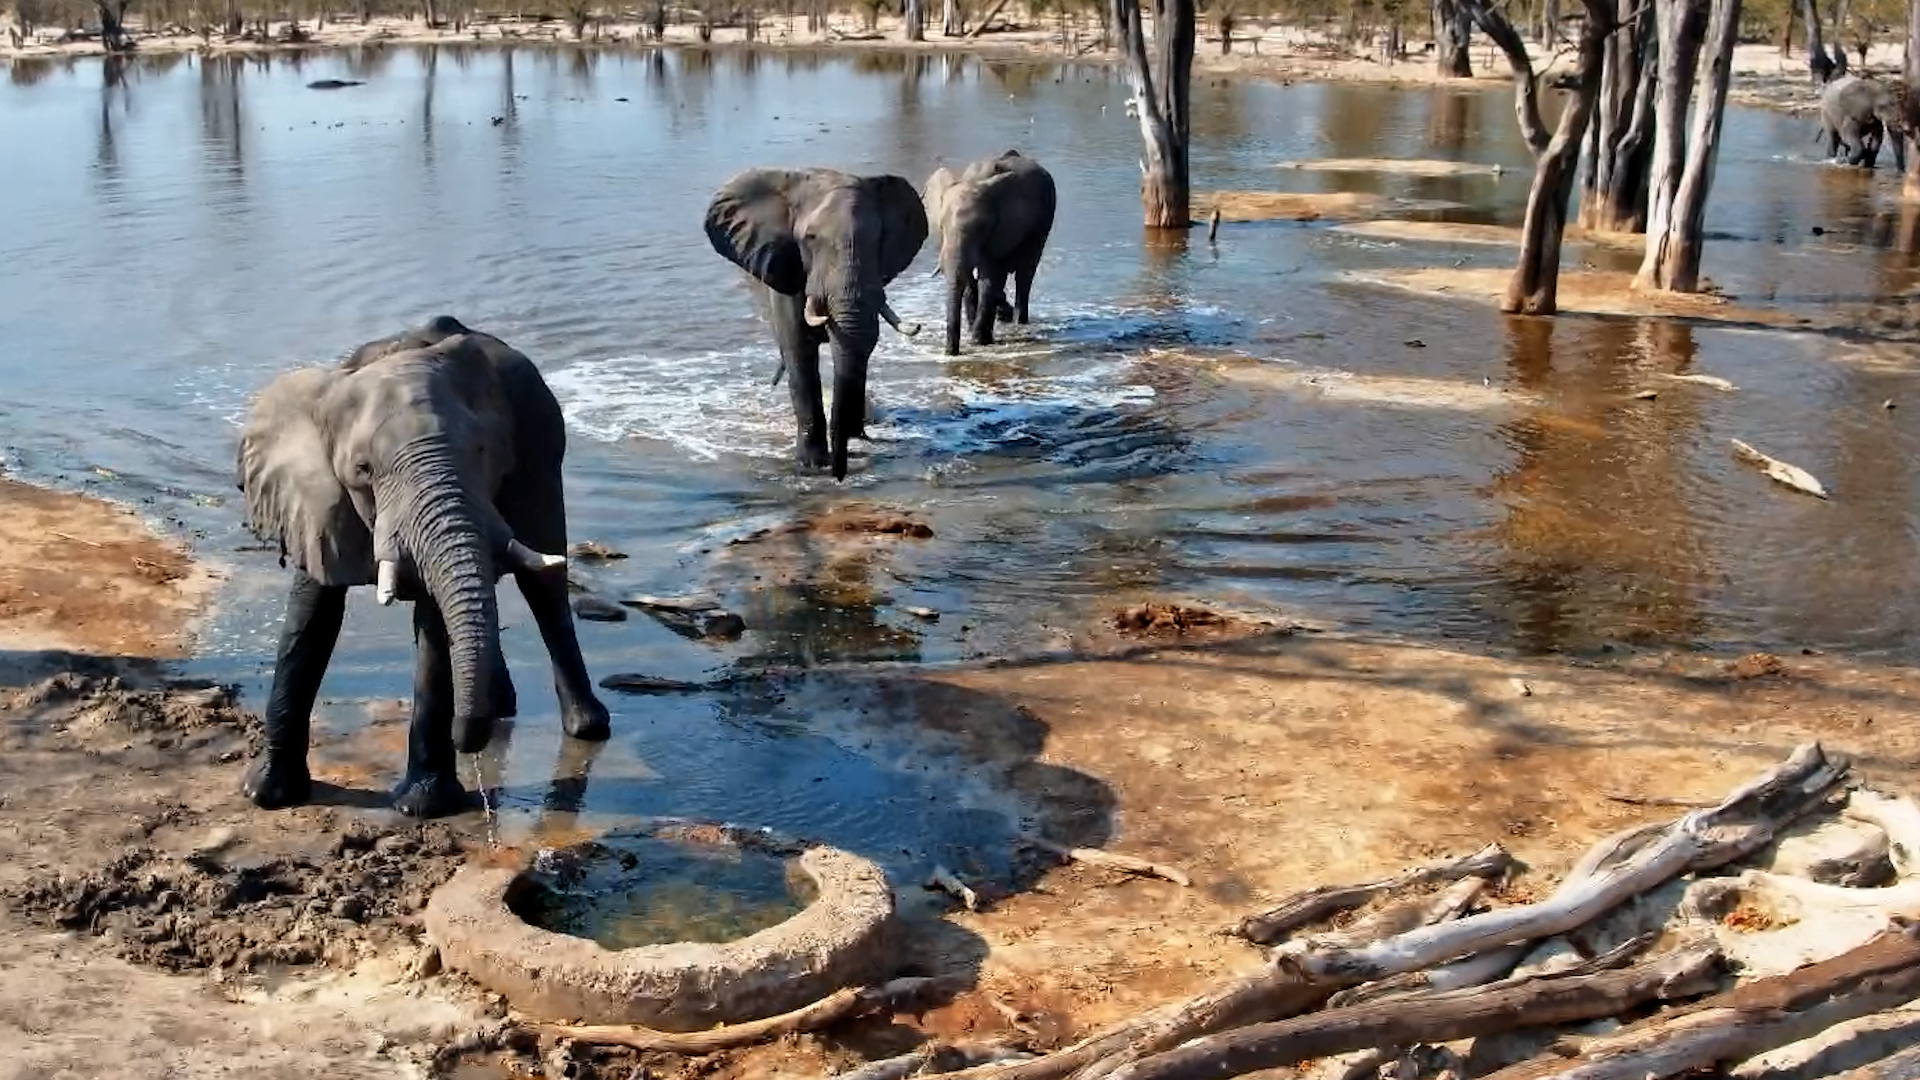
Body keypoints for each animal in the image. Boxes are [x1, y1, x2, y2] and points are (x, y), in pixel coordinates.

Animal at [235, 315, 612, 819]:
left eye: (481, 451)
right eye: (363, 470)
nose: (466, 738)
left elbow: (434, 628)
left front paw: (423, 806)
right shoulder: (314, 501)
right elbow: (312, 616)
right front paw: (266, 796)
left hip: (543, 453)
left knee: (544, 583)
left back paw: (584, 727)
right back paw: (499, 706)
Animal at [704, 167, 930, 481]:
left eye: (878, 239)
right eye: (809, 239)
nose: (840, 475)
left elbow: (861, 344)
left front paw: (856, 440)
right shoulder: (788, 268)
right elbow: (799, 352)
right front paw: (811, 465)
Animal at [923, 150, 1058, 356]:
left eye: (982, 229)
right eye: (941, 227)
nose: (950, 353)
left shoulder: (999, 231)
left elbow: (988, 277)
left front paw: (979, 342)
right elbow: (971, 280)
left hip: (1044, 218)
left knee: (1025, 274)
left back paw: (1017, 323)